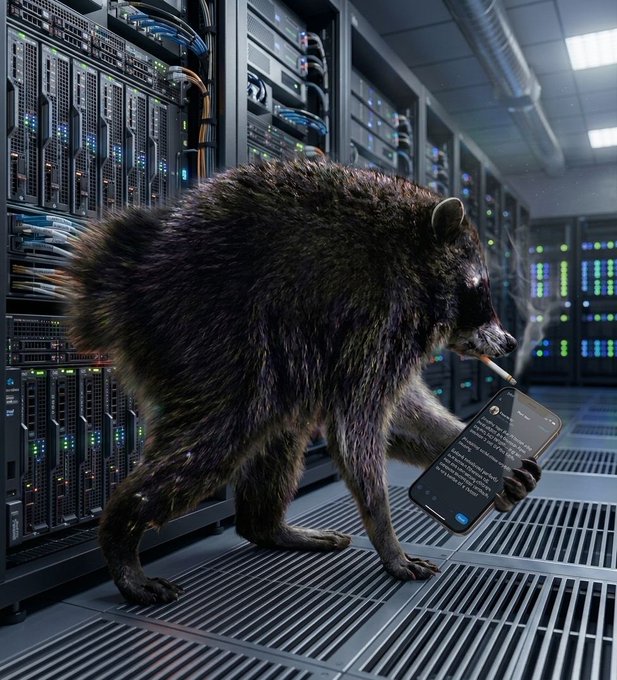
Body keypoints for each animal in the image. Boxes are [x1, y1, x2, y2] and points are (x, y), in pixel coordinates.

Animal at [67, 160, 540, 605]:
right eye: (480, 289)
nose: (511, 341)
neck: (414, 255)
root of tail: (129, 272)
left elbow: (401, 409)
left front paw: (470, 447)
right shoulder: (379, 314)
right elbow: (356, 427)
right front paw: (387, 539)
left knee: (279, 423)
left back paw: (265, 526)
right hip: (205, 328)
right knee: (219, 436)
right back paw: (121, 534)